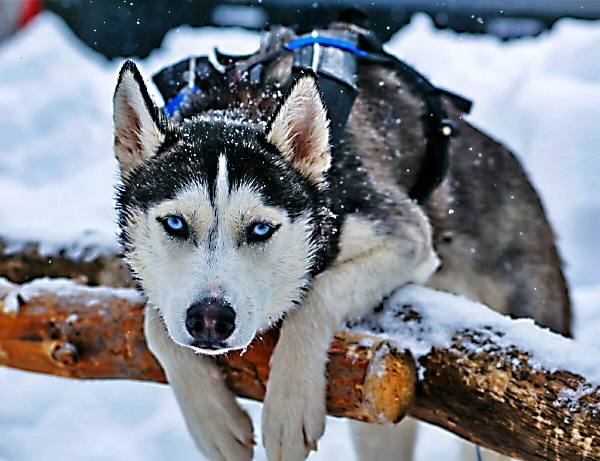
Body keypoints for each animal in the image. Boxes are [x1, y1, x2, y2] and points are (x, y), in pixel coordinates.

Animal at [113, 23, 572, 460]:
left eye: (260, 229)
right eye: (174, 223)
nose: (210, 320)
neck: (244, 106)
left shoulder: (406, 237)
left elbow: (316, 296)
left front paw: (289, 408)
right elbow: (156, 325)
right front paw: (214, 427)